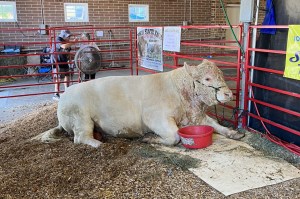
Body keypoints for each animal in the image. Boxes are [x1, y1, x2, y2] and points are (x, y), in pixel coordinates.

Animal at [33, 59, 244, 147]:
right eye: (207, 79)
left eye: (221, 74)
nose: (228, 93)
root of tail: (64, 97)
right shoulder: (155, 117)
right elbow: (175, 136)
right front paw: (150, 139)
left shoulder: (195, 116)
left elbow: (215, 124)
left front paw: (233, 133)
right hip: (80, 118)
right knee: (80, 138)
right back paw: (98, 143)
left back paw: (100, 136)